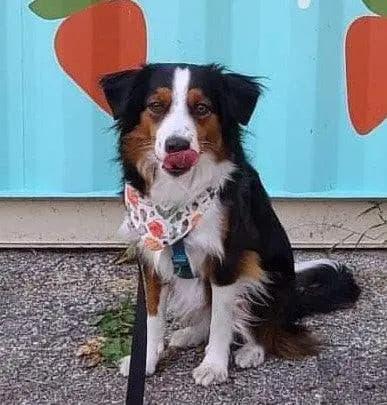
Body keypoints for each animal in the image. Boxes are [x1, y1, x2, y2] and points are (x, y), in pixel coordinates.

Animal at [100, 63, 360, 386]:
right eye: (156, 106)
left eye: (202, 108)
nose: (177, 146)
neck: (179, 196)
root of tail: (293, 301)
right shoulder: (151, 258)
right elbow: (152, 319)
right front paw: (145, 362)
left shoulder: (228, 260)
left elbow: (221, 321)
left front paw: (213, 366)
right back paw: (189, 335)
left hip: (262, 274)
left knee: (263, 327)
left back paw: (252, 351)